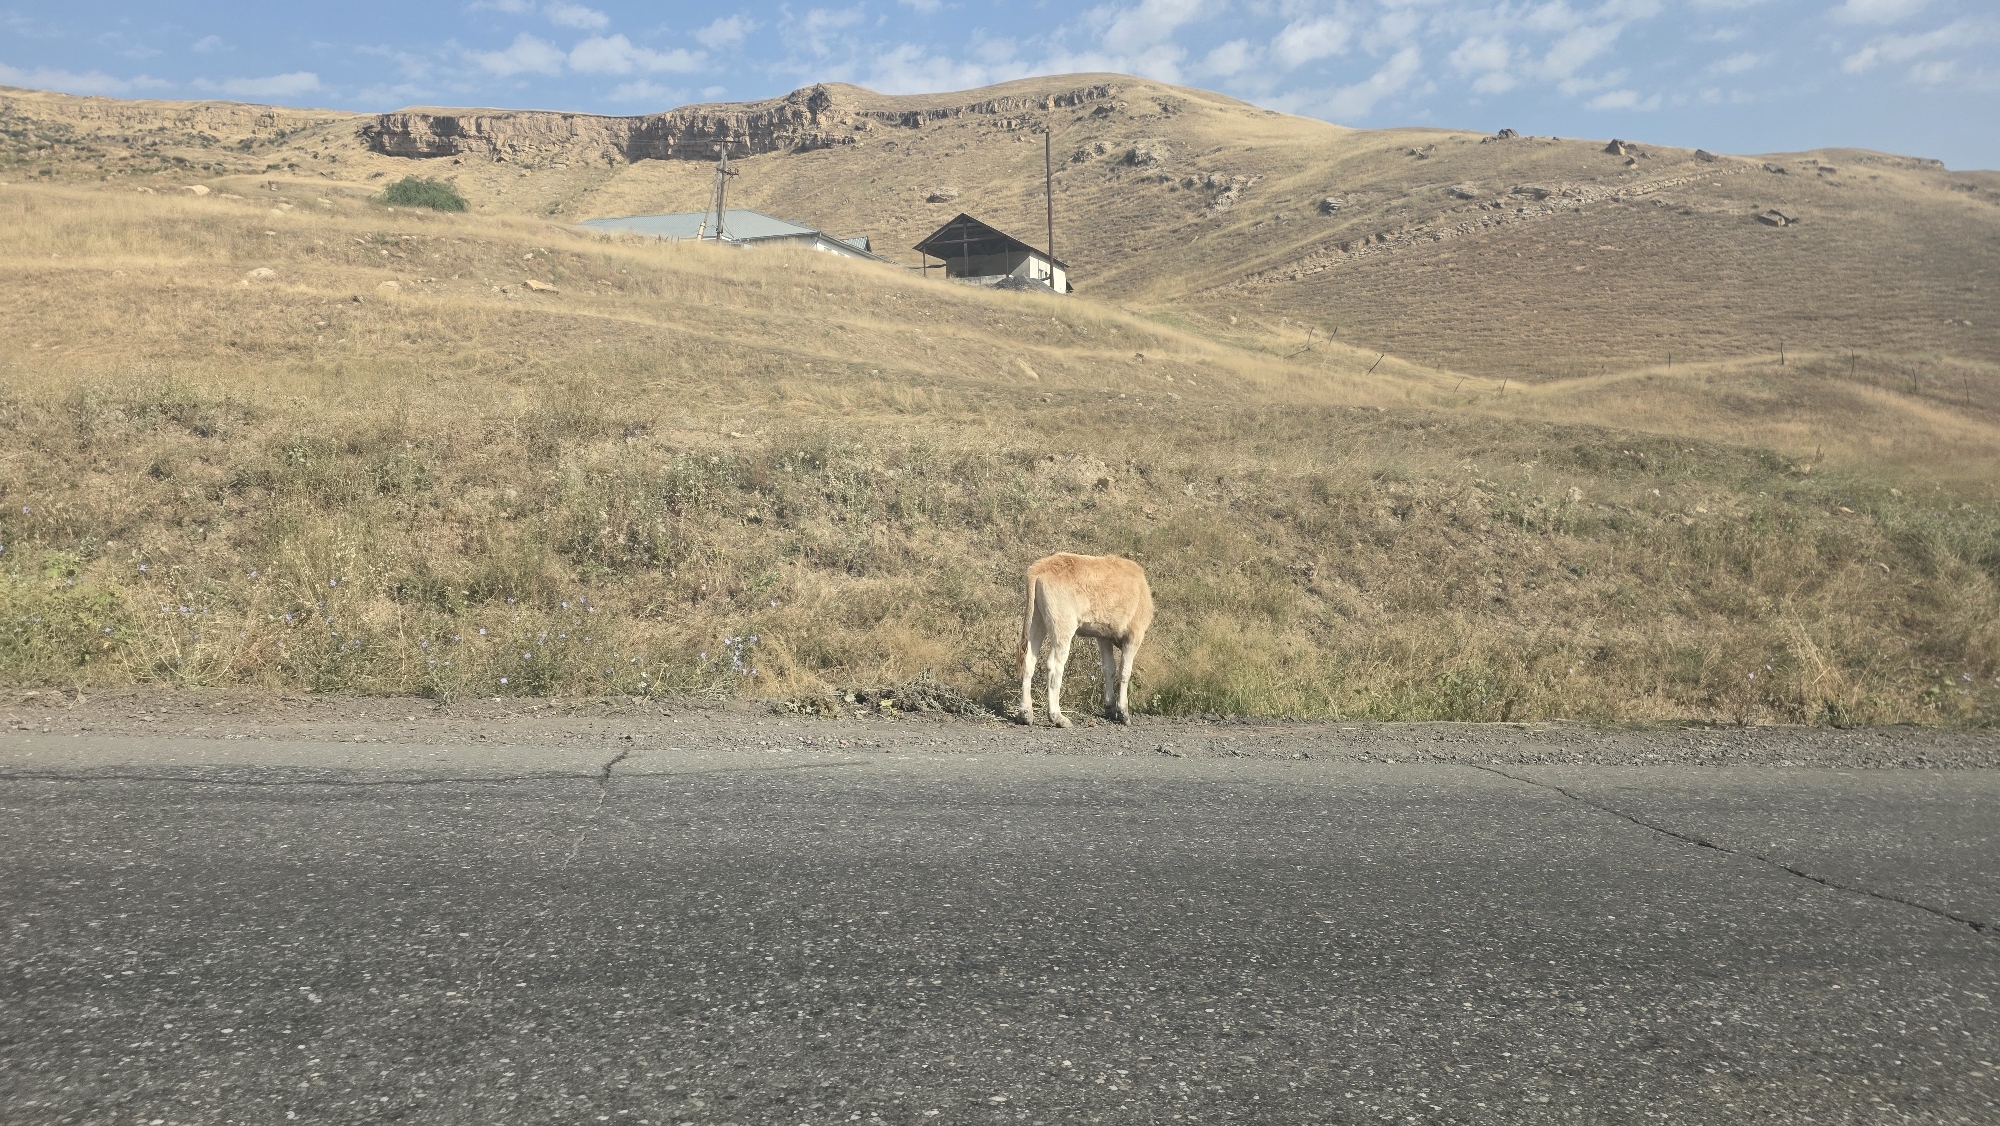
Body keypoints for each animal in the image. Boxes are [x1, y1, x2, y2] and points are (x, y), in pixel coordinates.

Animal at [1016, 552, 1154, 728]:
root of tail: (1041, 566)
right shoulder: (1134, 634)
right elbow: (1125, 671)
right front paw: (1124, 713)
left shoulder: (1103, 636)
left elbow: (1109, 668)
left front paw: (1110, 708)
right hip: (1063, 624)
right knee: (1054, 666)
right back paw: (1057, 717)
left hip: (1037, 618)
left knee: (1029, 661)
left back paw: (1025, 714)